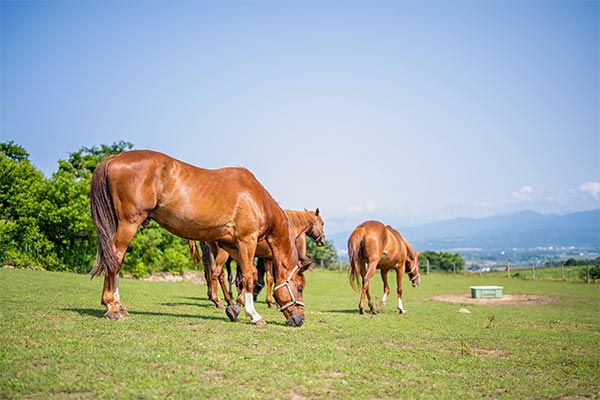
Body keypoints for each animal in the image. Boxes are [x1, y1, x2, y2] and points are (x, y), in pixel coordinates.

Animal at [89, 150, 310, 328]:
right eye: (299, 288)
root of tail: (116, 158)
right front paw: (253, 315)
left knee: (116, 260)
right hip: (129, 223)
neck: (257, 199)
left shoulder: (231, 245)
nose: (299, 320)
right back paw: (111, 307)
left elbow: (251, 275)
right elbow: (247, 276)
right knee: (115, 259)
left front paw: (235, 307)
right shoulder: (247, 241)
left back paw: (118, 305)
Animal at [193, 208, 326, 310]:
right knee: (215, 271)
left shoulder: (267, 259)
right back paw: (218, 300)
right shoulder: (273, 260)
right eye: (322, 223)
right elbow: (274, 279)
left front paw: (271, 302)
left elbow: (270, 279)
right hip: (223, 254)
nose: (323, 241)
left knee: (220, 274)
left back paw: (228, 300)